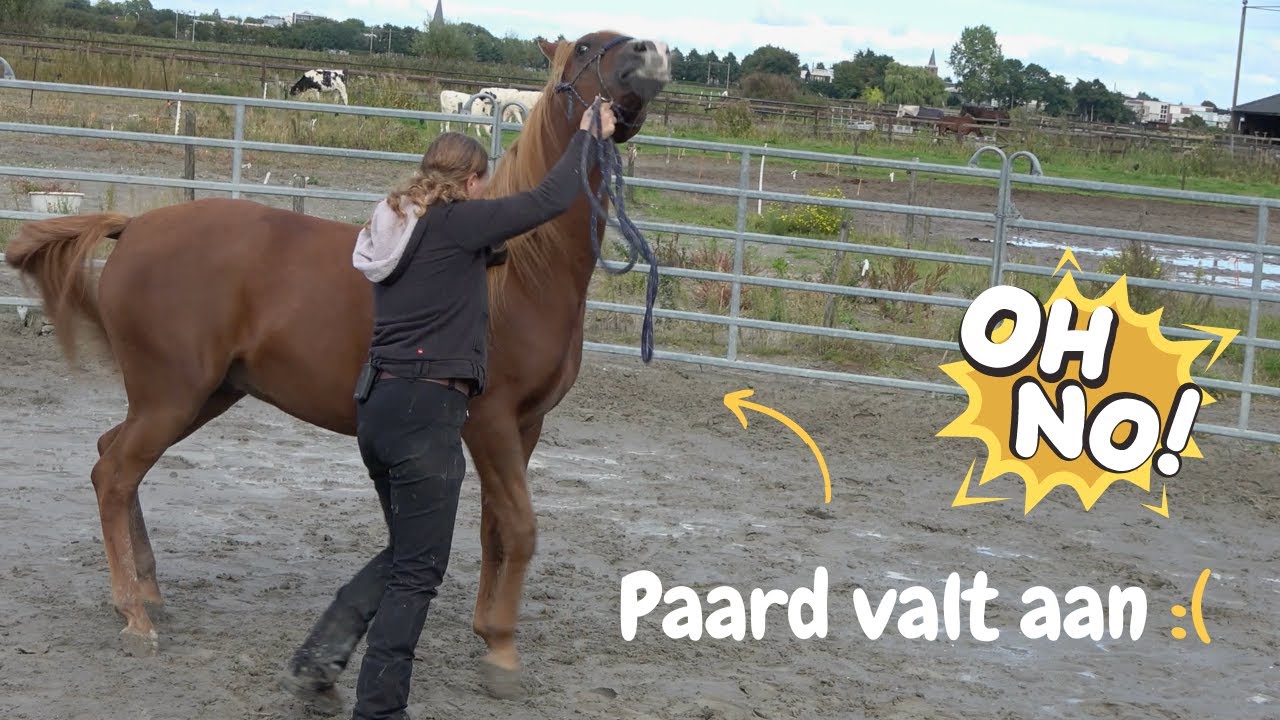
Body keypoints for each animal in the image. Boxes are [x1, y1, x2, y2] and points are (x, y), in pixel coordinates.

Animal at [4, 30, 671, 699]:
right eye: (586, 48)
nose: (652, 51)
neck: (519, 270)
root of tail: (133, 225)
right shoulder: (493, 423)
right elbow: (522, 527)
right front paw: (504, 655)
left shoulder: (524, 427)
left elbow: (496, 528)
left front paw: (490, 633)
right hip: (171, 398)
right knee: (113, 474)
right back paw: (135, 618)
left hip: (199, 396)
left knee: (112, 457)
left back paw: (148, 592)